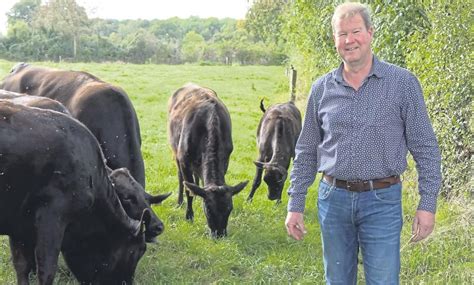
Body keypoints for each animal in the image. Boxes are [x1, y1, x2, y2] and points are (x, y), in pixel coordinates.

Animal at [0, 101, 165, 282]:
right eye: (138, 250)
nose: (159, 226)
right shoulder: (52, 218)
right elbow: (46, 269)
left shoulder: (19, 226)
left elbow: (22, 266)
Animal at [168, 83, 248, 236]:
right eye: (209, 210)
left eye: (230, 209)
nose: (220, 234)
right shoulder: (184, 160)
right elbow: (188, 190)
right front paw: (189, 216)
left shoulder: (226, 159)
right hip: (175, 151)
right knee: (181, 178)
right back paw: (180, 202)